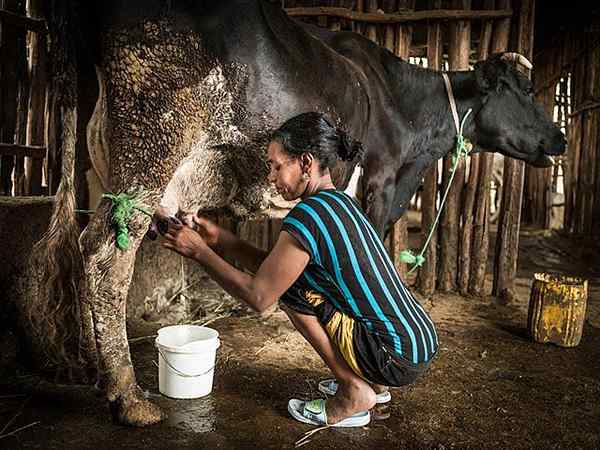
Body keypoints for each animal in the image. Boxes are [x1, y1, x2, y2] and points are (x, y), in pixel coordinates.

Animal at [27, 0, 564, 426]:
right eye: (523, 91)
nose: (559, 138)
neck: (405, 112)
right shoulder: (381, 185)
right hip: (153, 135)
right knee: (104, 256)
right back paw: (128, 396)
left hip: (94, 152)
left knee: (81, 246)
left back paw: (92, 369)